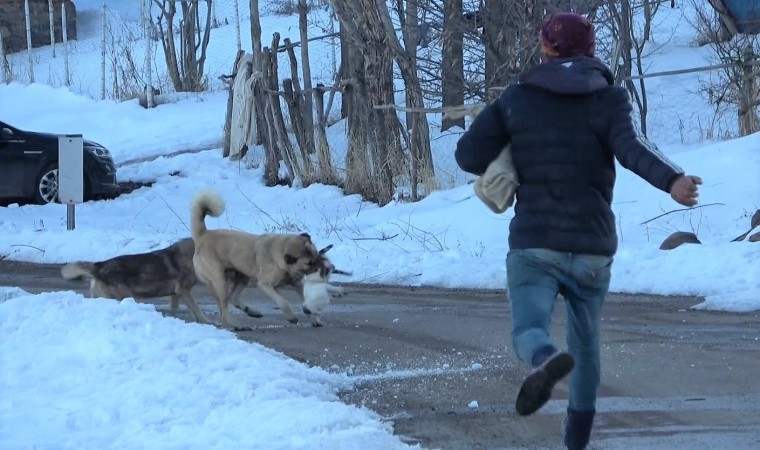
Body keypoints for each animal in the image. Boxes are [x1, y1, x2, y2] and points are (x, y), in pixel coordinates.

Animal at [191, 190, 322, 330]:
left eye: (317, 255)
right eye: (309, 263)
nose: (322, 268)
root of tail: (202, 235)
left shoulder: (297, 285)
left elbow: (308, 303)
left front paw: (315, 319)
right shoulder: (266, 285)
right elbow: (283, 302)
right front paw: (291, 317)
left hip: (242, 277)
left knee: (233, 298)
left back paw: (251, 312)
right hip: (220, 282)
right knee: (224, 310)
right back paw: (236, 325)